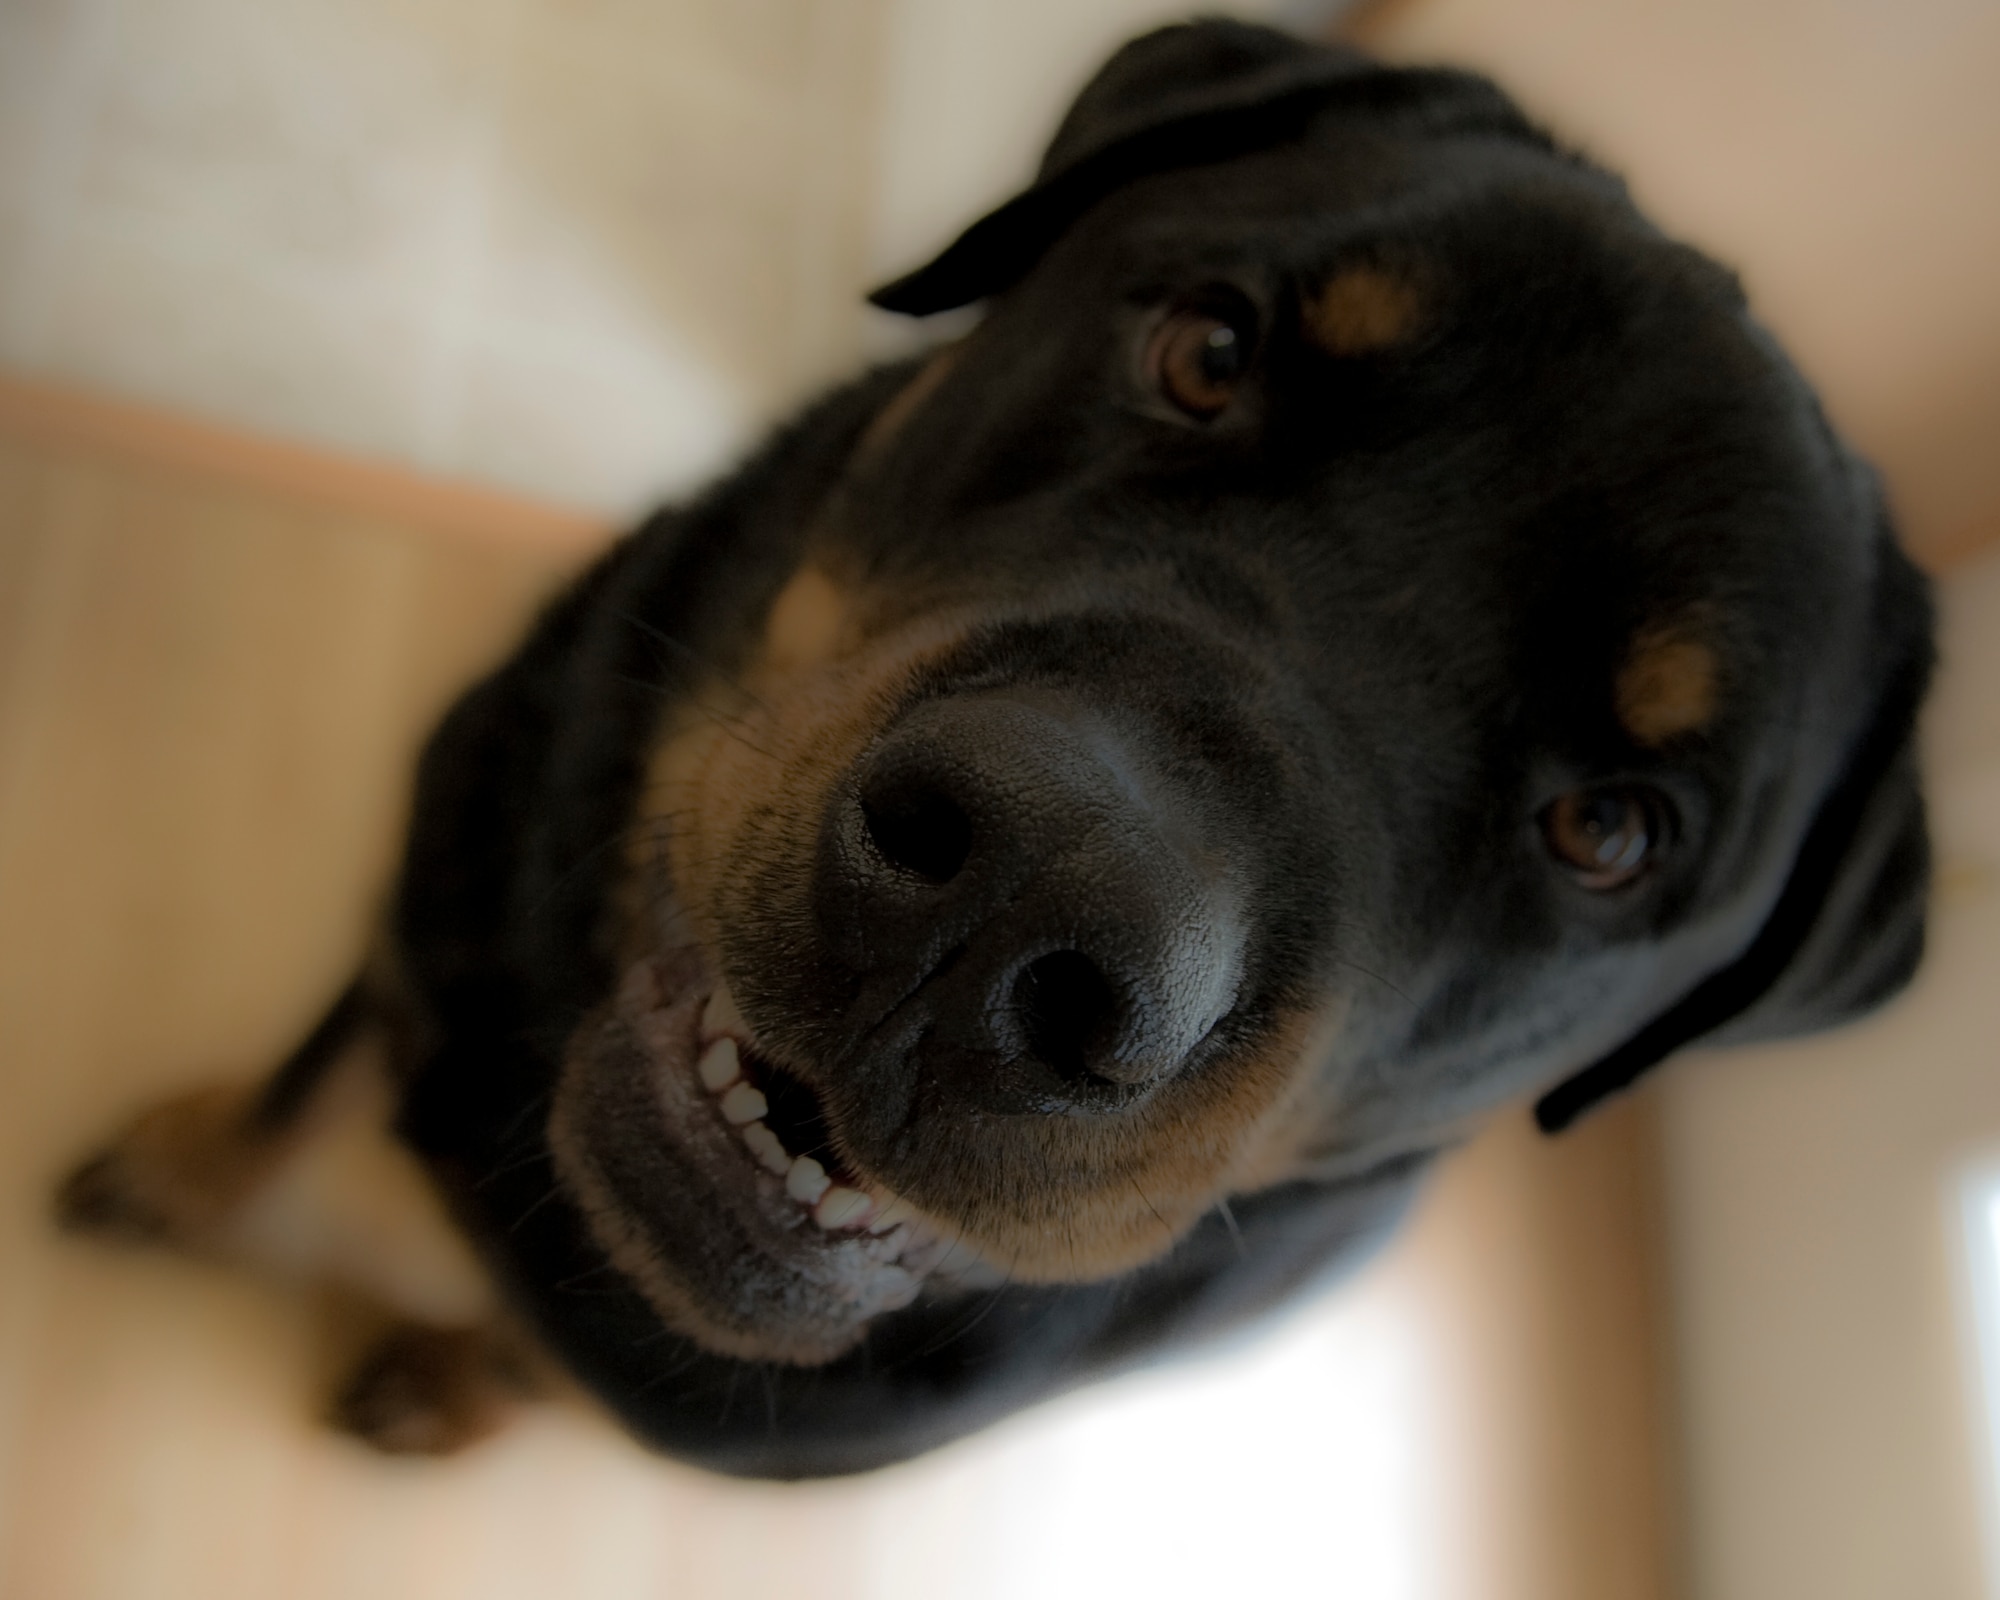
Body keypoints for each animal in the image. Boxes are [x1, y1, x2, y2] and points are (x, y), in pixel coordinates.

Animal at [66, 25, 1936, 1472]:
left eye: (1613, 832)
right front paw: (183, 1169)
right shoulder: (435, 875)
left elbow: (538, 1356)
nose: (1020, 904)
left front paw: (448, 1382)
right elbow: (302, 1077)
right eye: (1208, 348)